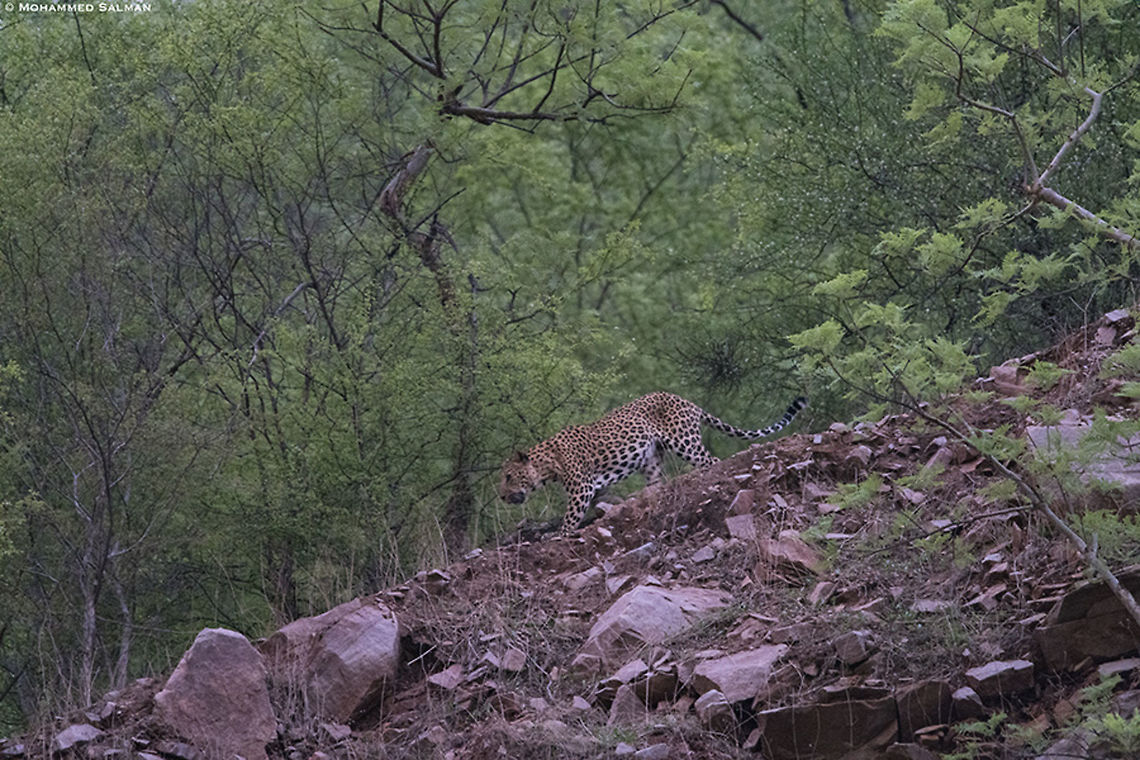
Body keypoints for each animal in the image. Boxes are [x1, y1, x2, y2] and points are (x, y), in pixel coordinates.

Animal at [498, 392, 807, 536]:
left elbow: (569, 518)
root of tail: (687, 401)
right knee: (657, 484)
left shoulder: (581, 488)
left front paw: (559, 536)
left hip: (685, 443)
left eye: (509, 477)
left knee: (713, 461)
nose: (501, 496)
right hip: (652, 461)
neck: (548, 464)